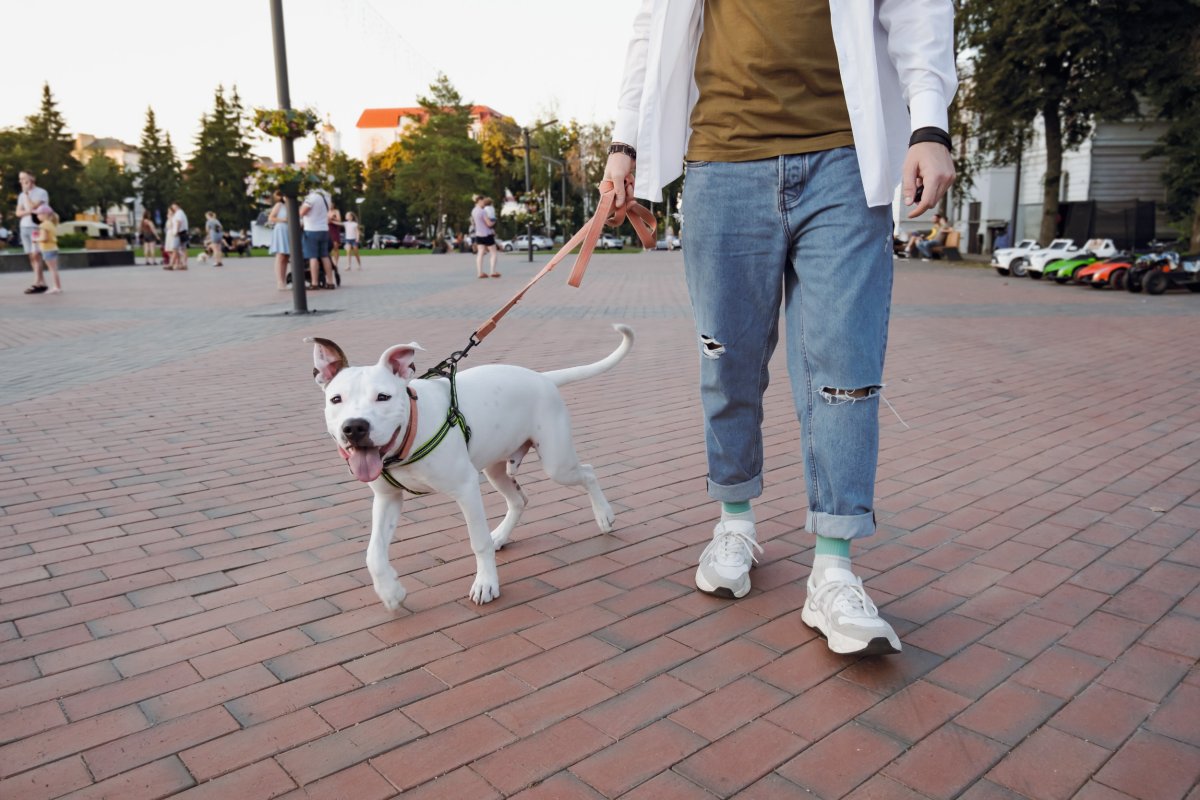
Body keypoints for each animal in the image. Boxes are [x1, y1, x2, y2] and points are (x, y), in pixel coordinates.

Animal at [304, 326, 633, 606]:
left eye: (383, 397)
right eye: (336, 399)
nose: (354, 427)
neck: (409, 434)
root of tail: (543, 378)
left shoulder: (465, 488)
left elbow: (478, 542)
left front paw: (486, 584)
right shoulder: (388, 498)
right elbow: (373, 553)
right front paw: (390, 591)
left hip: (557, 463)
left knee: (588, 472)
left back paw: (604, 516)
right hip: (496, 468)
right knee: (519, 499)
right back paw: (500, 535)